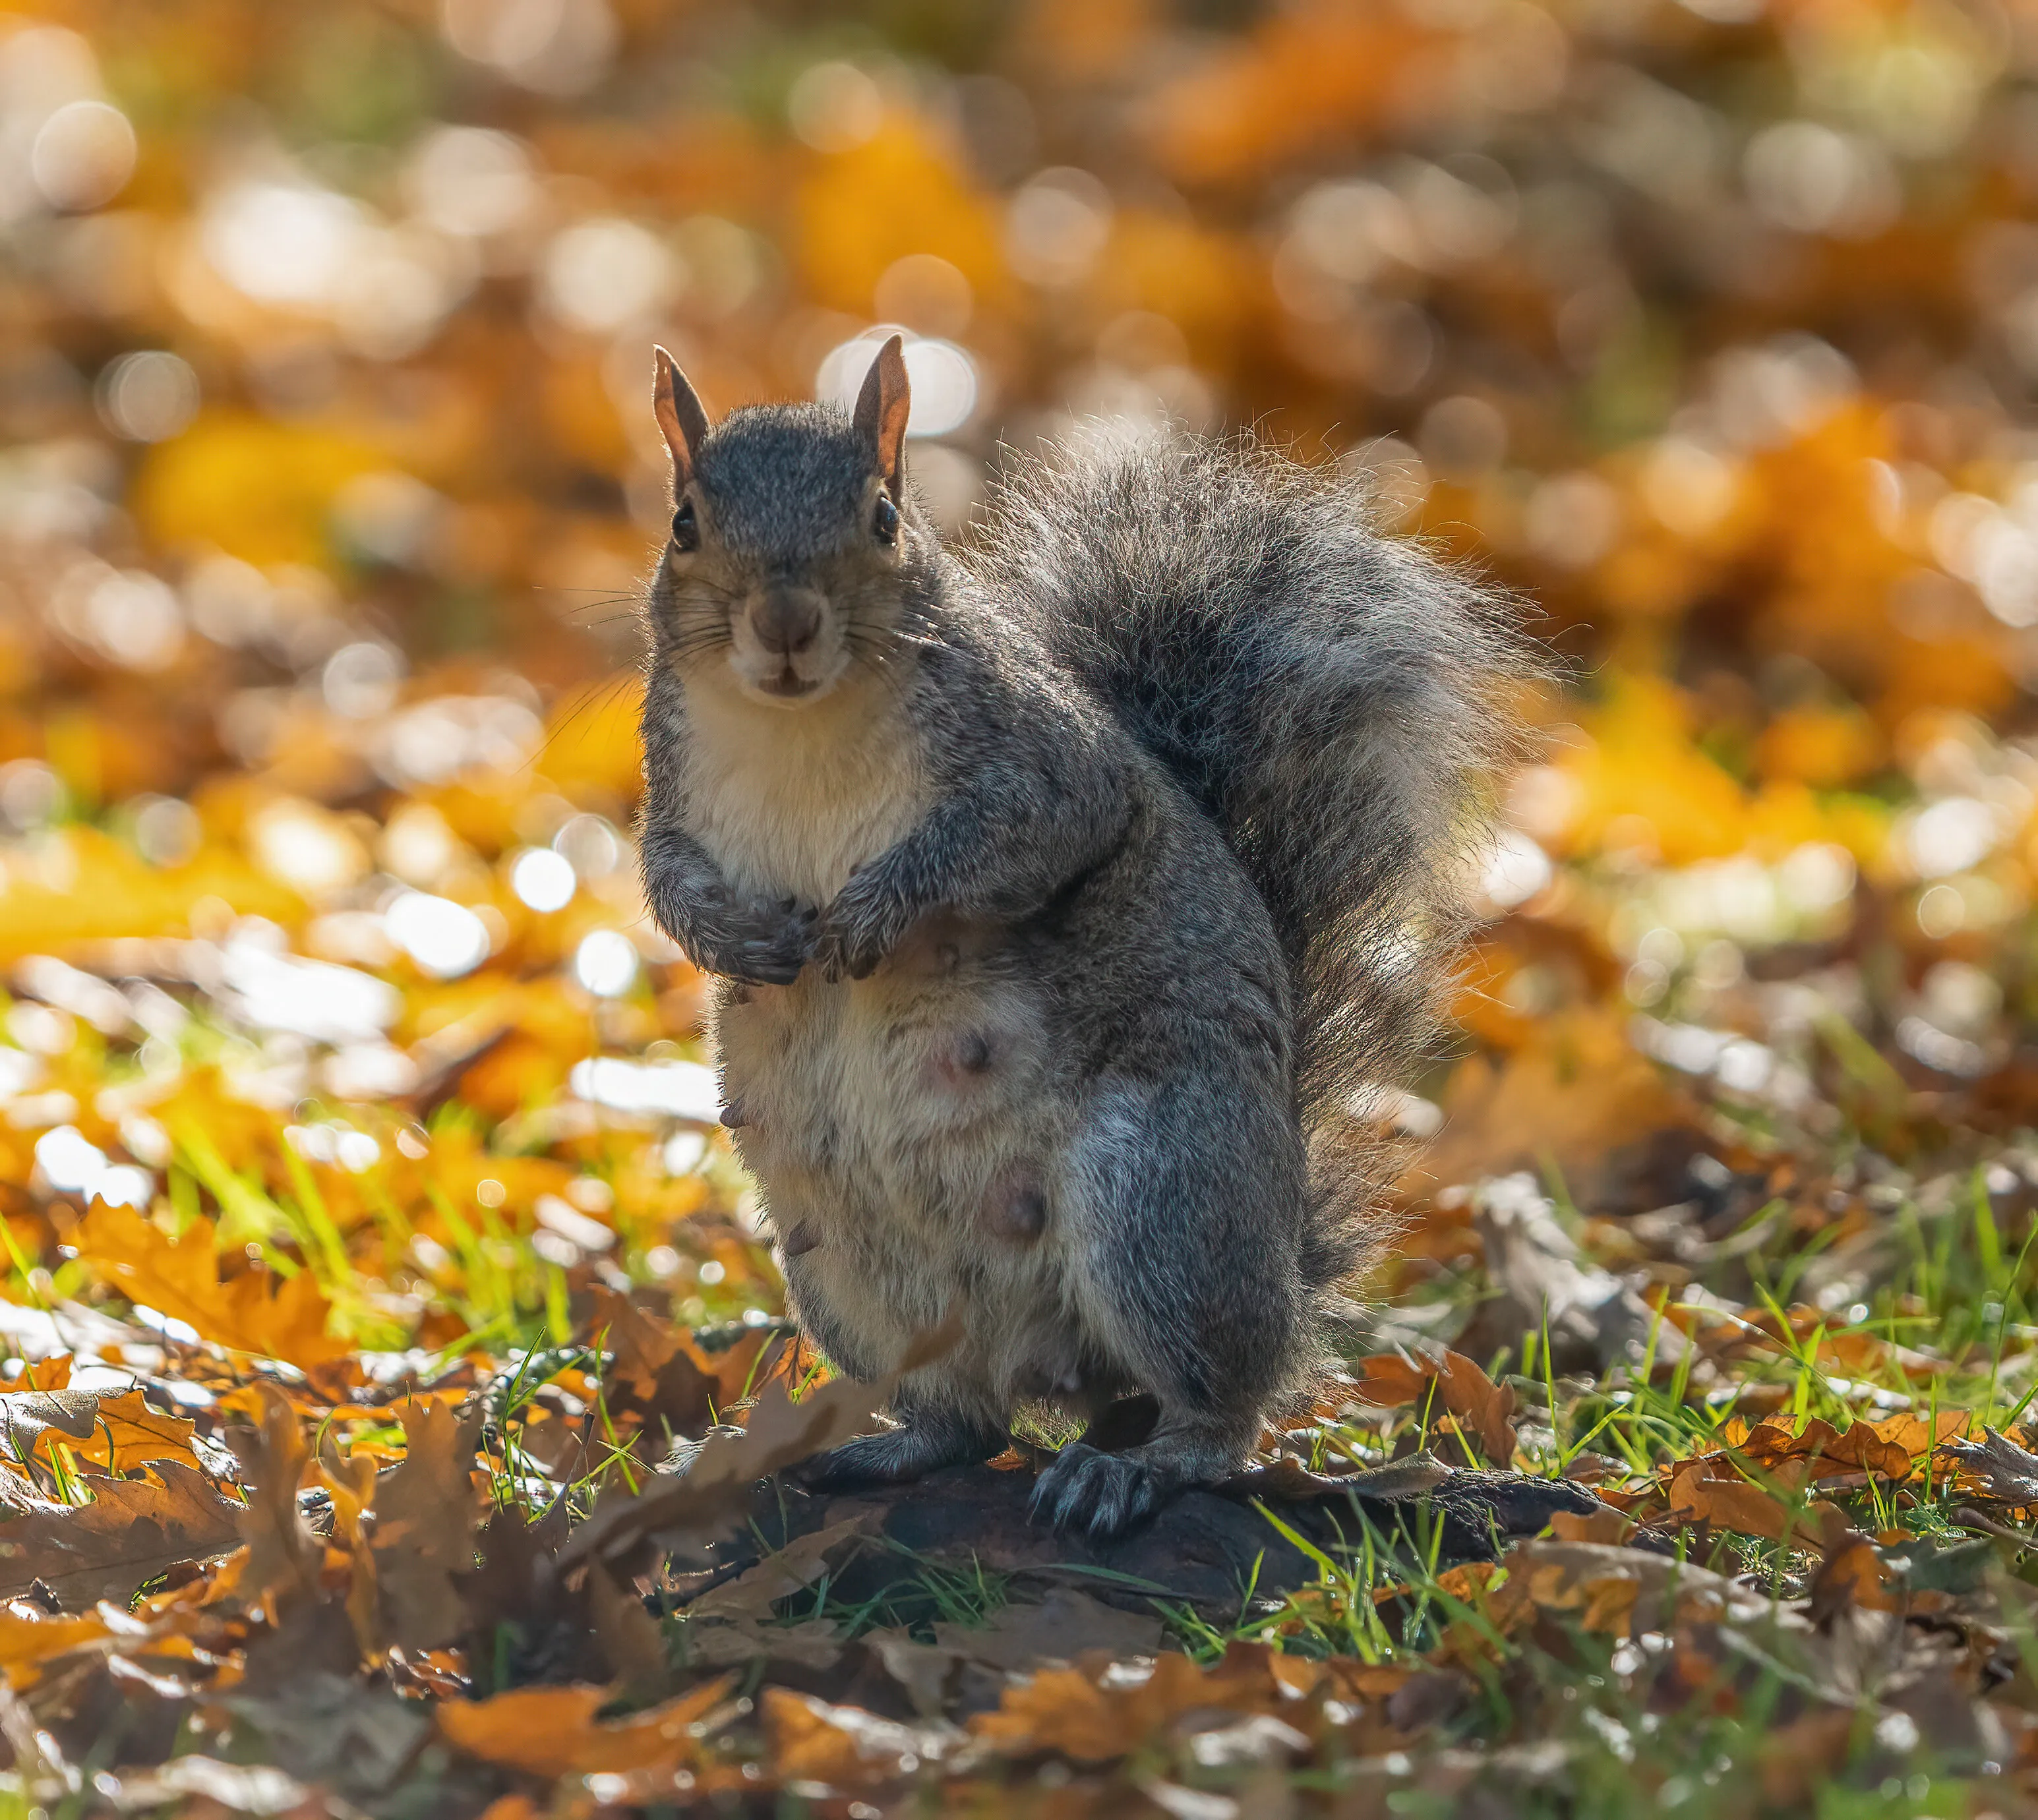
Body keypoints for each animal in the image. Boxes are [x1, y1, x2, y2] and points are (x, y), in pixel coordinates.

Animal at [636, 336, 1531, 1539]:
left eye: (883, 516)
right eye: (685, 522)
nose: (782, 626)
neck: (795, 725)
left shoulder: (1050, 767)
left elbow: (1017, 839)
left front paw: (878, 909)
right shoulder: (671, 787)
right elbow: (662, 877)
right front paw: (733, 939)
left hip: (1160, 1204)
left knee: (1217, 1411)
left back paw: (1133, 1468)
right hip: (843, 1262)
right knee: (969, 1421)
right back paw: (883, 1448)